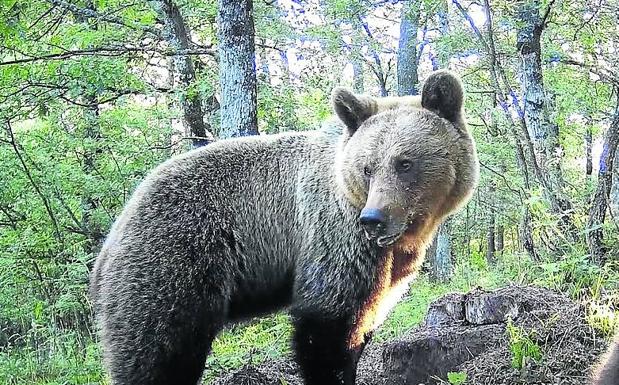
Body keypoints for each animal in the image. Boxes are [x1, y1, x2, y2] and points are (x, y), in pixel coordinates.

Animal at [91, 70, 480, 384]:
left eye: (404, 163)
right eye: (368, 167)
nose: (374, 219)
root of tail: (111, 239)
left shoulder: (389, 266)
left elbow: (367, 319)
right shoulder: (333, 236)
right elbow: (326, 326)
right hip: (175, 259)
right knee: (159, 350)